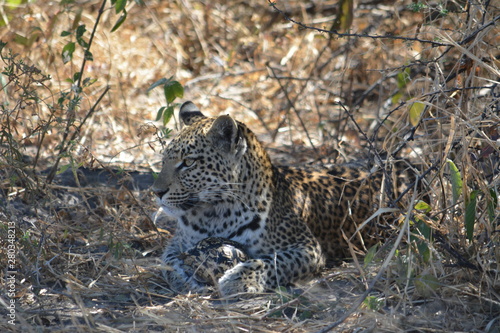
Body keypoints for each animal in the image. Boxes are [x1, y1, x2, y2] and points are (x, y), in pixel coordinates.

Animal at [153, 100, 414, 294]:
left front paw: (238, 280)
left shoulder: (307, 248)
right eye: (163, 160)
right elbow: (168, 261)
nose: (156, 192)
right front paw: (183, 279)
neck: (211, 214)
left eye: (188, 163)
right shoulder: (178, 241)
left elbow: (274, 262)